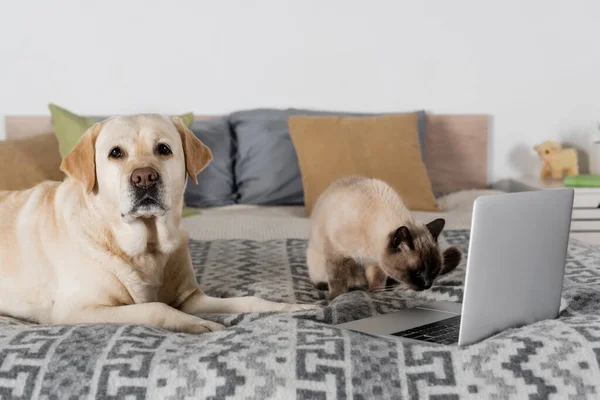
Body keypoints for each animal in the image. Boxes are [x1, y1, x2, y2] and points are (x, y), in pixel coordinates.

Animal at [0, 114, 316, 332]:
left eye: (163, 149)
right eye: (116, 153)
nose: (144, 177)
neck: (147, 246)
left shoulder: (192, 298)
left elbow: (250, 300)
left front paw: (292, 306)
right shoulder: (75, 309)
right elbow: (155, 307)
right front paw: (199, 324)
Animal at [308, 176, 462, 300]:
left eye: (434, 271)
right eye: (417, 271)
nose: (427, 285)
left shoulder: (375, 263)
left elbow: (377, 281)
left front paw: (375, 294)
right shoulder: (336, 254)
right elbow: (337, 280)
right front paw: (336, 299)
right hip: (317, 261)